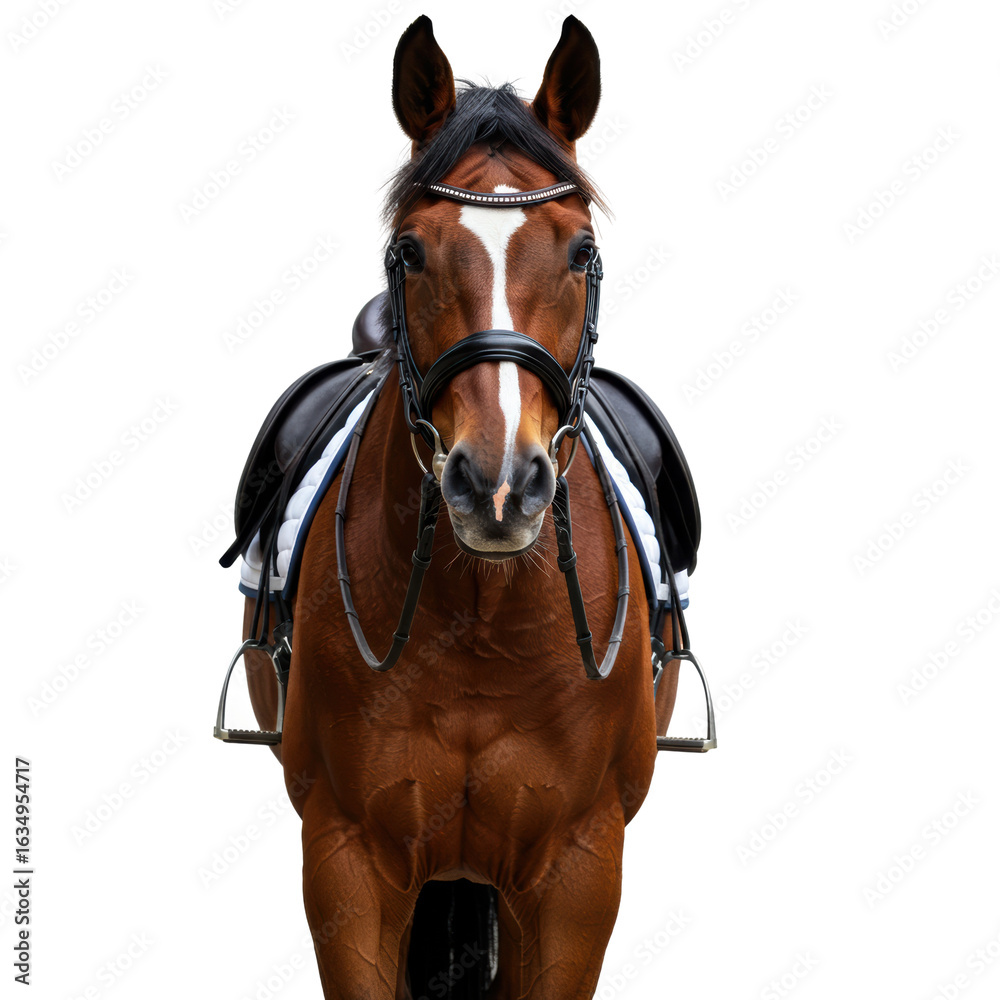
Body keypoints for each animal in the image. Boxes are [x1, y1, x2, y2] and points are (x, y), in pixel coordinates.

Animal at [236, 16, 684, 999]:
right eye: (410, 250)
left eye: (581, 251)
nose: (498, 485)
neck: (483, 615)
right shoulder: (348, 862)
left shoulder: (578, 871)